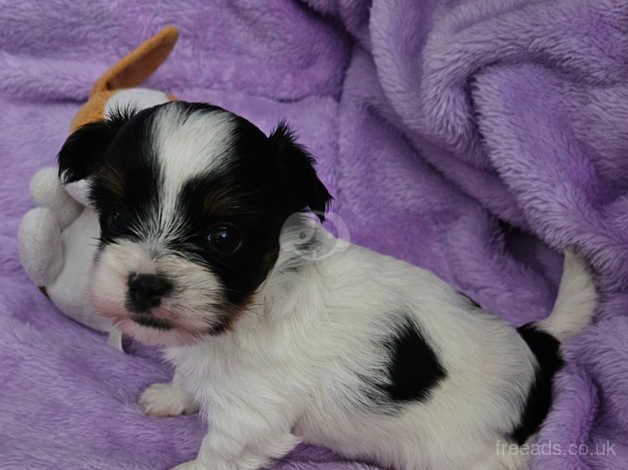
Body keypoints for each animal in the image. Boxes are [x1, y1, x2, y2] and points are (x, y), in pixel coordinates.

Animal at [60, 102, 600, 470]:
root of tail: (533, 343)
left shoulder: (252, 416)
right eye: (116, 215)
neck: (250, 309)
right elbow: (191, 379)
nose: (146, 285)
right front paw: (173, 395)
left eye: (223, 237)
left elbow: (219, 453)